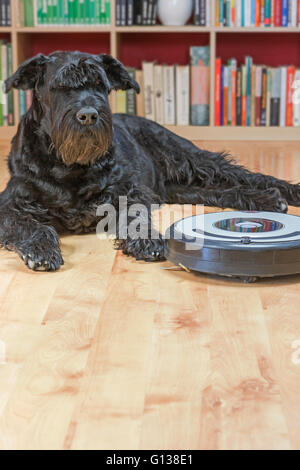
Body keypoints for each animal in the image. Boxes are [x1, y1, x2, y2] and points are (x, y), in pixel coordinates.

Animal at [0, 49, 298, 270]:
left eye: (100, 85)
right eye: (60, 86)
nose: (88, 115)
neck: (69, 166)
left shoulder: (128, 191)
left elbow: (136, 217)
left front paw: (146, 239)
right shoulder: (11, 204)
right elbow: (31, 226)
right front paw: (40, 249)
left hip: (189, 158)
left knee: (244, 175)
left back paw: (283, 194)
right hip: (178, 188)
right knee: (220, 192)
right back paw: (266, 200)